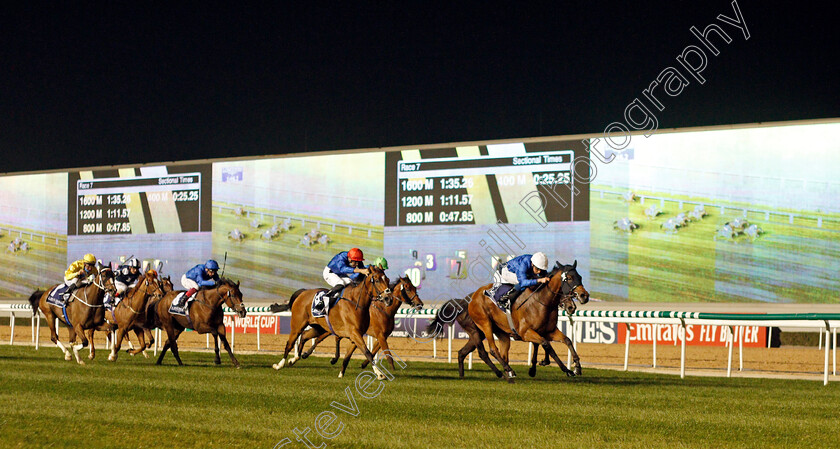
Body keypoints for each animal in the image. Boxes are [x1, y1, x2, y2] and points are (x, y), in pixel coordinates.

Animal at [296, 274, 426, 372]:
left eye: (415, 288)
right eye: (408, 288)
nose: (420, 304)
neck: (384, 310)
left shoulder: (382, 336)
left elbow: (373, 351)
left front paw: (364, 364)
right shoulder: (380, 335)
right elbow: (387, 354)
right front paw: (392, 370)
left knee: (328, 338)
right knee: (320, 338)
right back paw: (307, 354)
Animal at [430, 260, 588, 382]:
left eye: (580, 277)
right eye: (569, 278)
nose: (584, 296)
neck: (541, 301)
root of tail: (468, 300)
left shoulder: (549, 330)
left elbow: (566, 340)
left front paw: (577, 367)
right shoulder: (526, 332)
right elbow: (545, 344)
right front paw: (566, 369)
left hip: (489, 333)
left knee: (467, 352)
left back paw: (468, 375)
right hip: (485, 325)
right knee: (491, 350)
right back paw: (507, 370)